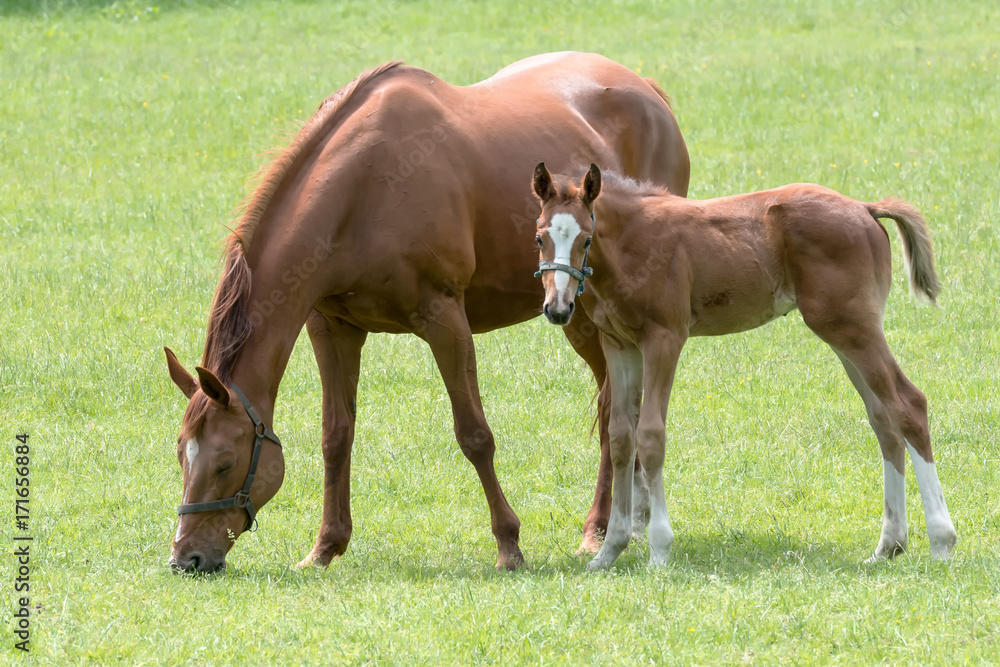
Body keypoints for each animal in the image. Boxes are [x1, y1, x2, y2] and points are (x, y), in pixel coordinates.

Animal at [536, 163, 956, 568]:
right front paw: (609, 551)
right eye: (540, 237)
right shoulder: (619, 345)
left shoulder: (664, 339)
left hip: (854, 328)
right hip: (844, 333)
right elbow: (621, 437)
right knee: (883, 420)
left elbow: (651, 434)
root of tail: (865, 208)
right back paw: (889, 545)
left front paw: (659, 550)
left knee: (908, 404)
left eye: (585, 238)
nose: (558, 308)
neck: (630, 242)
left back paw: (941, 541)